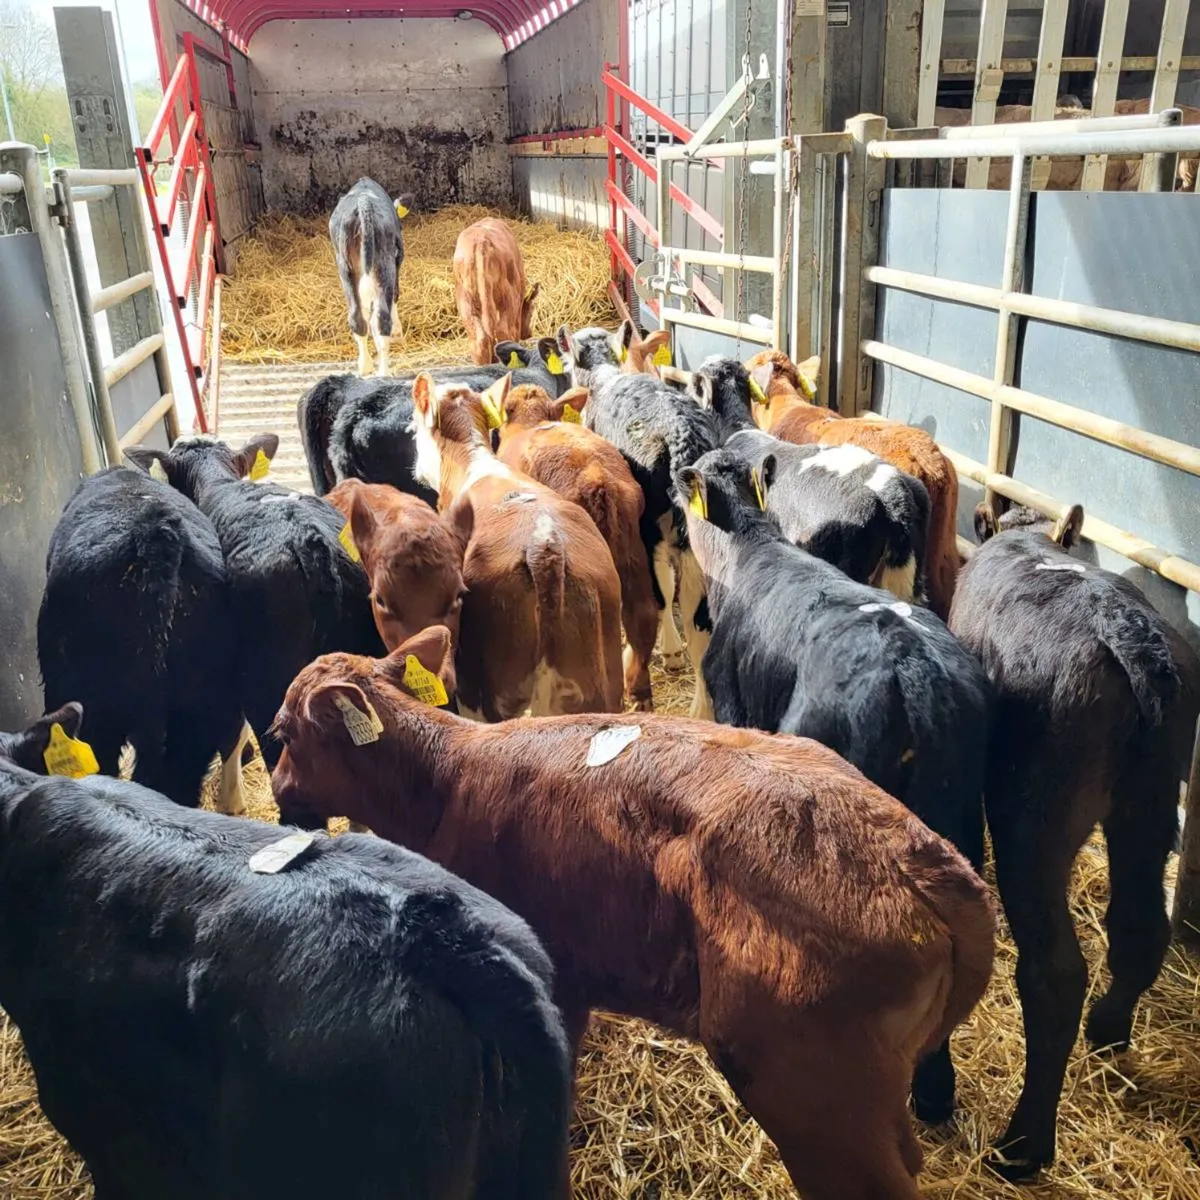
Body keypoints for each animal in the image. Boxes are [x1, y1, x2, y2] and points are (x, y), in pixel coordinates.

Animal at [270, 629, 996, 1200]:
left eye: (280, 732)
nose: (276, 790)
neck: (441, 783)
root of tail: (924, 858)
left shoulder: (551, 980)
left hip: (810, 1088)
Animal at [329, 177, 413, 378]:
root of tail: (363, 201)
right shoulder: (397, 260)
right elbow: (395, 295)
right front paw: (398, 332)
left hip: (345, 267)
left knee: (357, 317)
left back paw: (365, 366)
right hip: (384, 264)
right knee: (382, 315)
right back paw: (383, 372)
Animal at [453, 218, 539, 366]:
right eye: (531, 309)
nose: (529, 334)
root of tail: (481, 241)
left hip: (465, 302)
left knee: (480, 339)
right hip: (508, 298)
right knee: (503, 332)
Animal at [950, 501, 1200, 1180]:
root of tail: (1125, 631)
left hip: (1034, 819)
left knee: (1055, 972)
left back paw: (1023, 1144)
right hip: (1147, 805)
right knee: (1140, 926)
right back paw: (1109, 1031)